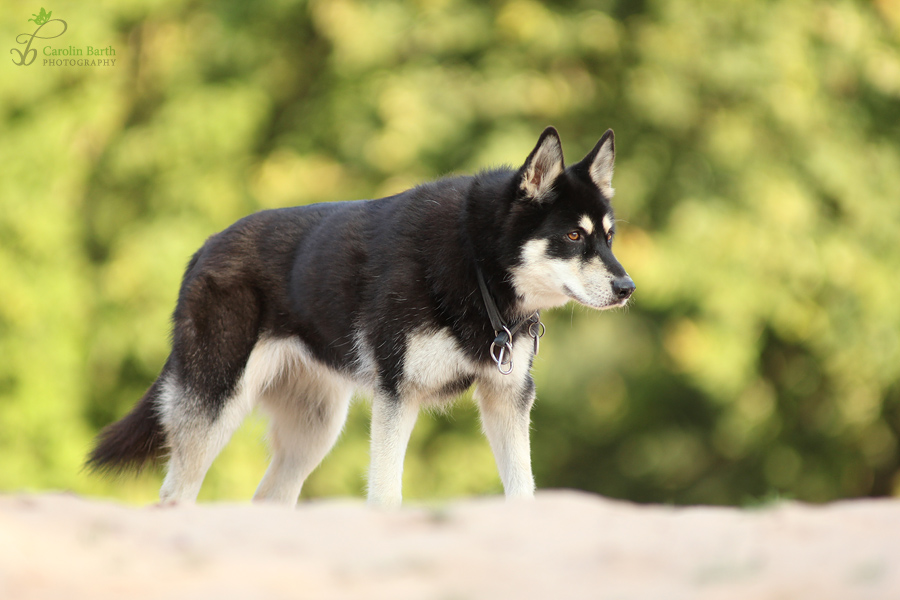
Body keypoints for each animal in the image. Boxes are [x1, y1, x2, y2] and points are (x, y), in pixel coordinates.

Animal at [84, 126, 632, 506]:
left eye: (609, 236)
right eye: (574, 236)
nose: (627, 288)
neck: (476, 261)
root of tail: (203, 250)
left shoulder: (507, 399)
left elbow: (522, 490)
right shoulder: (398, 397)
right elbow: (386, 494)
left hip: (315, 429)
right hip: (217, 403)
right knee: (175, 493)